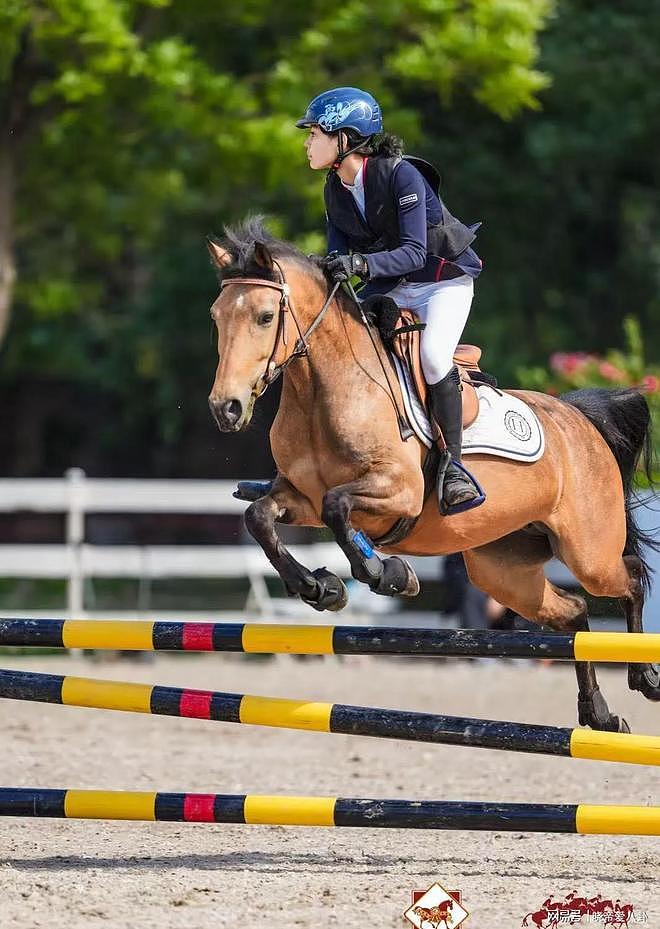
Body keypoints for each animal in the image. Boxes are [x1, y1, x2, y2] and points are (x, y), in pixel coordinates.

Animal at [207, 217, 659, 732]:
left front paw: (389, 575)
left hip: (588, 552)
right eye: (216, 317)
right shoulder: (300, 497)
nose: (226, 408)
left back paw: (645, 678)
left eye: (265, 317)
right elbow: (261, 518)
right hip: (504, 570)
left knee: (630, 576)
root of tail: (578, 417)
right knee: (574, 613)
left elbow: (339, 507)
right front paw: (322, 588)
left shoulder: (397, 492)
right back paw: (599, 713)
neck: (325, 391)